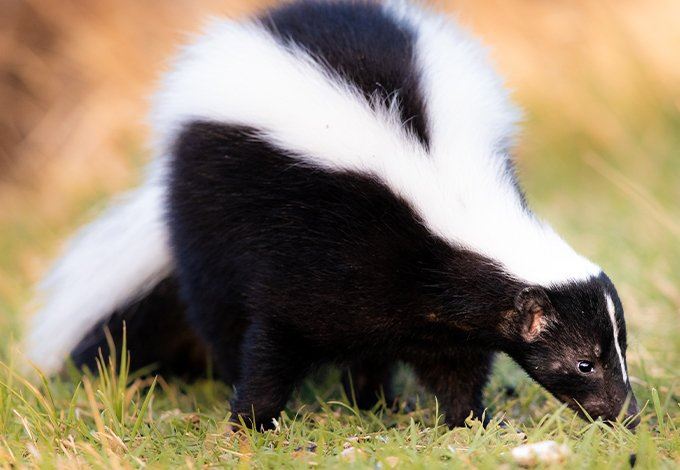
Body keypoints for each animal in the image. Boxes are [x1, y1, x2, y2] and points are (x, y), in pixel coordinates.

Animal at [23, 0, 640, 430]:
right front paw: (253, 421)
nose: (626, 414)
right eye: (585, 363)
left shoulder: (433, 301)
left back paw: (375, 403)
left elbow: (455, 362)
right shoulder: (319, 254)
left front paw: (469, 420)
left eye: (620, 350)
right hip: (205, 215)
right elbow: (273, 339)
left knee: (370, 346)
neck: (449, 198)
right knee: (219, 313)